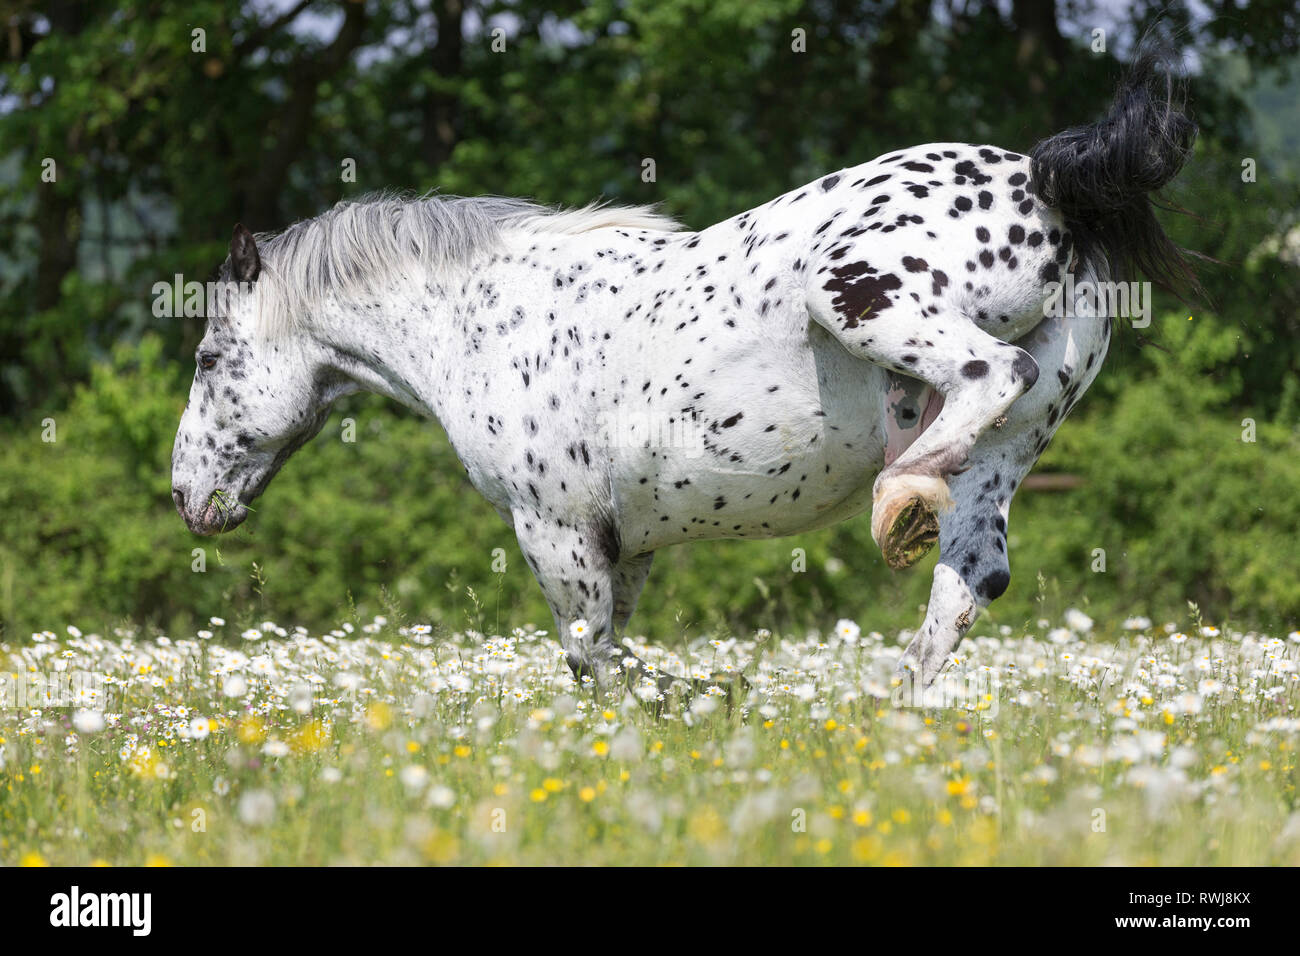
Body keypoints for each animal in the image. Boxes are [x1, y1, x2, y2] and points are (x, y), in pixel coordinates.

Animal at [170, 57, 1196, 697]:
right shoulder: (628, 546)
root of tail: (1044, 185)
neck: (484, 318)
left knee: (991, 374)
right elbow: (612, 660)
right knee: (970, 577)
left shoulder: (557, 532)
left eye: (209, 358)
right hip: (1017, 441)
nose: (188, 498)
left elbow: (591, 663)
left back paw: (899, 499)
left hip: (861, 292)